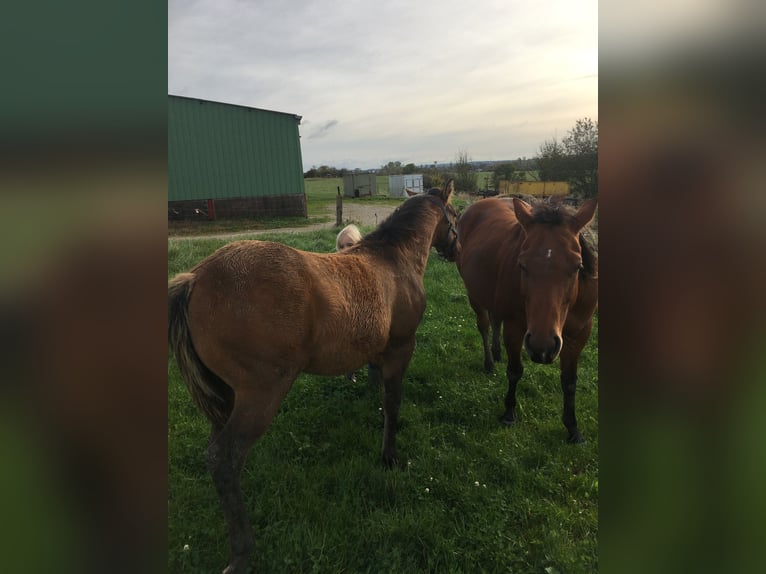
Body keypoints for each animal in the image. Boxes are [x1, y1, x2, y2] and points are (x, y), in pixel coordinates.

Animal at [168, 181, 456, 574]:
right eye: (455, 216)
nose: (456, 250)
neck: (392, 260)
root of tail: (195, 278)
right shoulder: (401, 348)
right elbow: (393, 403)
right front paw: (389, 457)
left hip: (225, 397)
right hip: (261, 395)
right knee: (224, 458)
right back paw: (242, 551)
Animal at [456, 198, 600, 446]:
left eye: (577, 266)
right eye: (522, 265)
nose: (543, 346)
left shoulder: (579, 334)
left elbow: (569, 381)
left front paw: (573, 428)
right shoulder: (515, 328)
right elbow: (515, 371)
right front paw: (509, 413)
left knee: (495, 320)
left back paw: (497, 353)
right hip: (475, 295)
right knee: (484, 325)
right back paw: (489, 362)